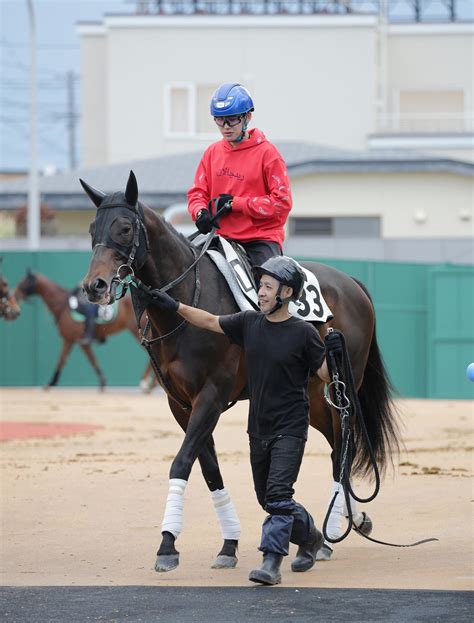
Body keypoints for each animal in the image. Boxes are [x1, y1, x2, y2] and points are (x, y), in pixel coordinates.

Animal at [13, 272, 150, 390]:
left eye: (23, 283)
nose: (14, 296)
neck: (64, 306)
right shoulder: (69, 340)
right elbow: (62, 360)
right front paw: (51, 383)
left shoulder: (79, 342)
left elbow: (91, 360)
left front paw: (102, 382)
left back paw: (145, 383)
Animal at [82, 173, 400, 572]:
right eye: (92, 229)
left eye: (124, 228)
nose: (94, 286)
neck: (187, 301)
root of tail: (352, 283)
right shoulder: (181, 404)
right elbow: (208, 469)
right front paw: (228, 543)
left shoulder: (212, 396)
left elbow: (181, 463)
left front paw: (167, 545)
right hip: (314, 395)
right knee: (335, 450)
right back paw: (350, 520)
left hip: (342, 388)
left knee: (344, 446)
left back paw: (330, 535)